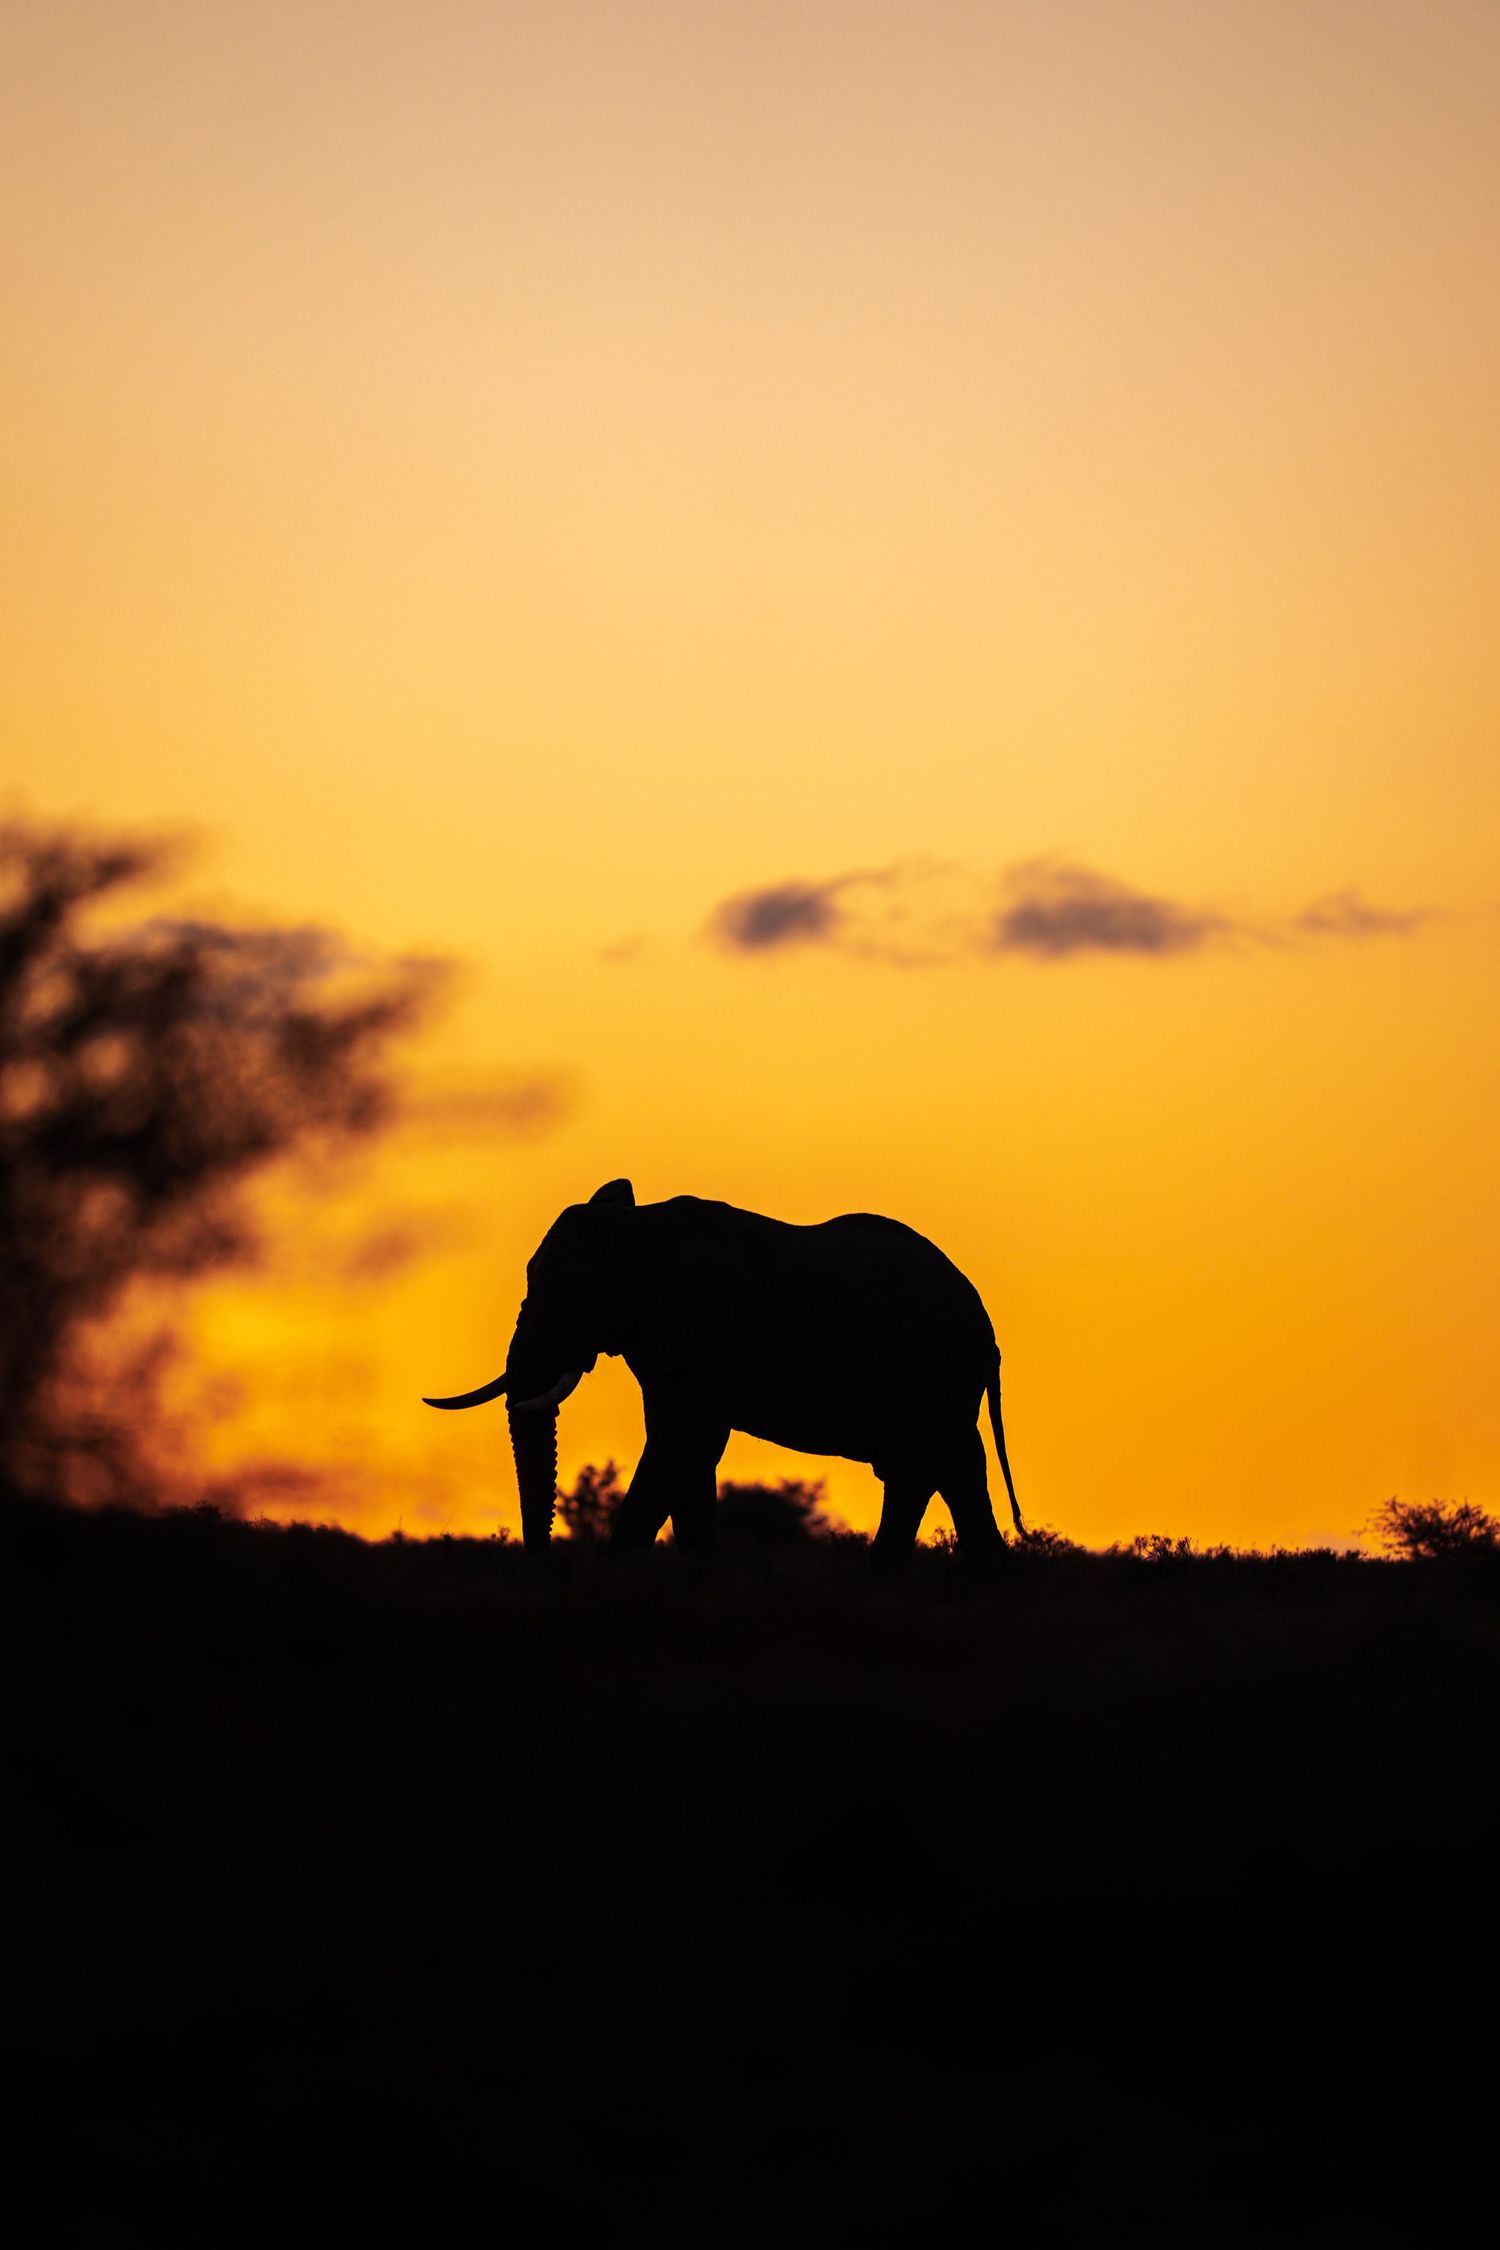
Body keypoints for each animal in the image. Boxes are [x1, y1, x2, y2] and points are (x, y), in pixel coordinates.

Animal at [423, 1179, 1026, 1566]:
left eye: (587, 1290)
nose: (543, 1561)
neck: (646, 1226)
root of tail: (988, 1326)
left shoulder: (713, 1324)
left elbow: (687, 1439)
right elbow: (685, 1446)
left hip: (940, 1369)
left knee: (920, 1464)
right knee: (953, 1465)